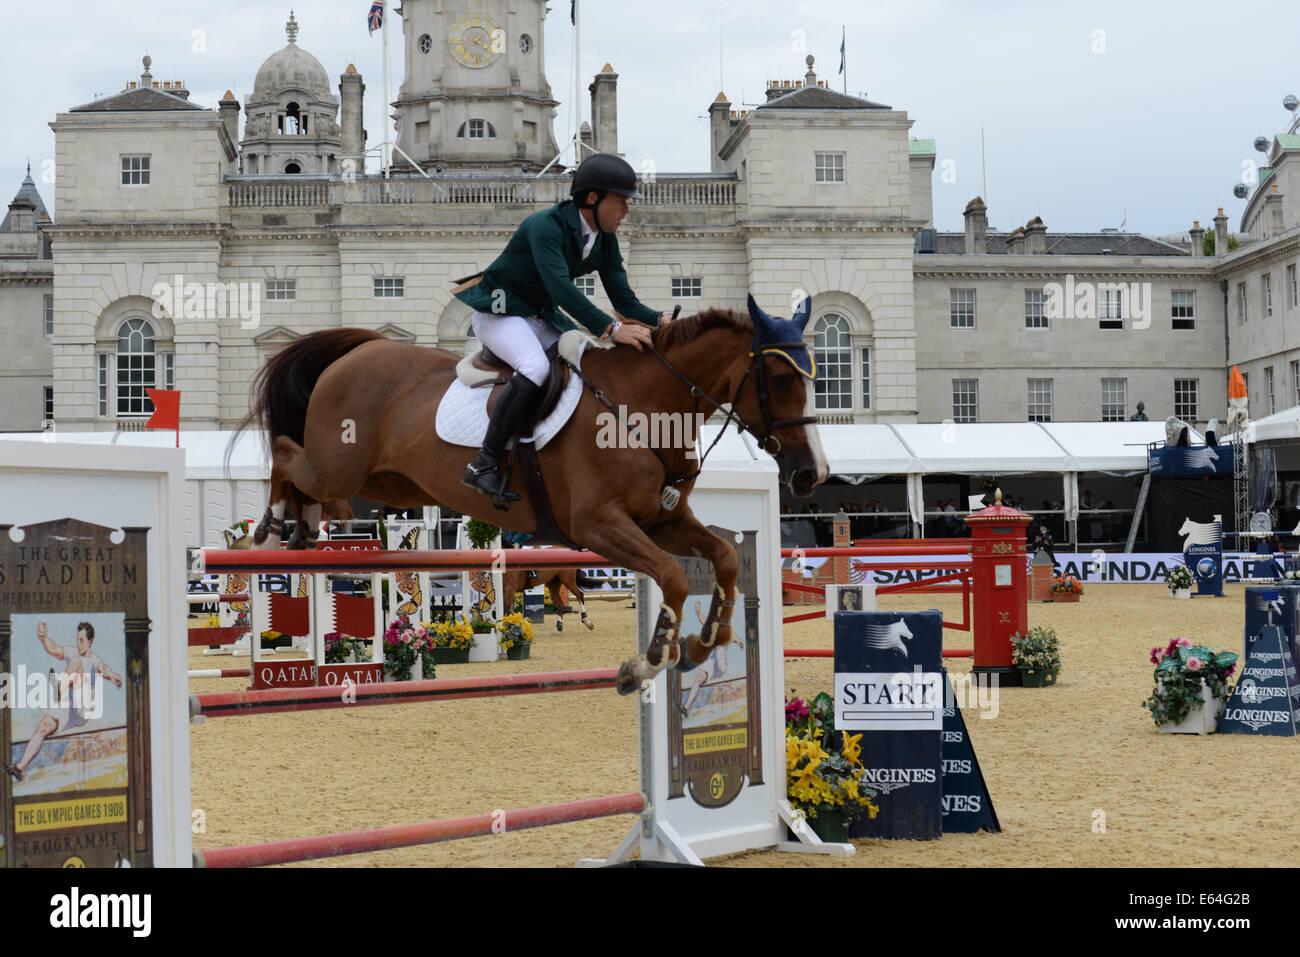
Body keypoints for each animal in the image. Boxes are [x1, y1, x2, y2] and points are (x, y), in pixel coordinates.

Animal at [239, 295, 826, 691]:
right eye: (778, 377)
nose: (810, 475)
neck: (639, 406)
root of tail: (357, 351)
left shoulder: (662, 521)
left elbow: (724, 557)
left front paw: (707, 644)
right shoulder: (598, 526)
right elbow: (674, 576)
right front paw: (647, 662)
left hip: (386, 481)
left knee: (304, 476)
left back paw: (300, 533)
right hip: (339, 467)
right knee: (287, 454)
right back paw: (268, 534)